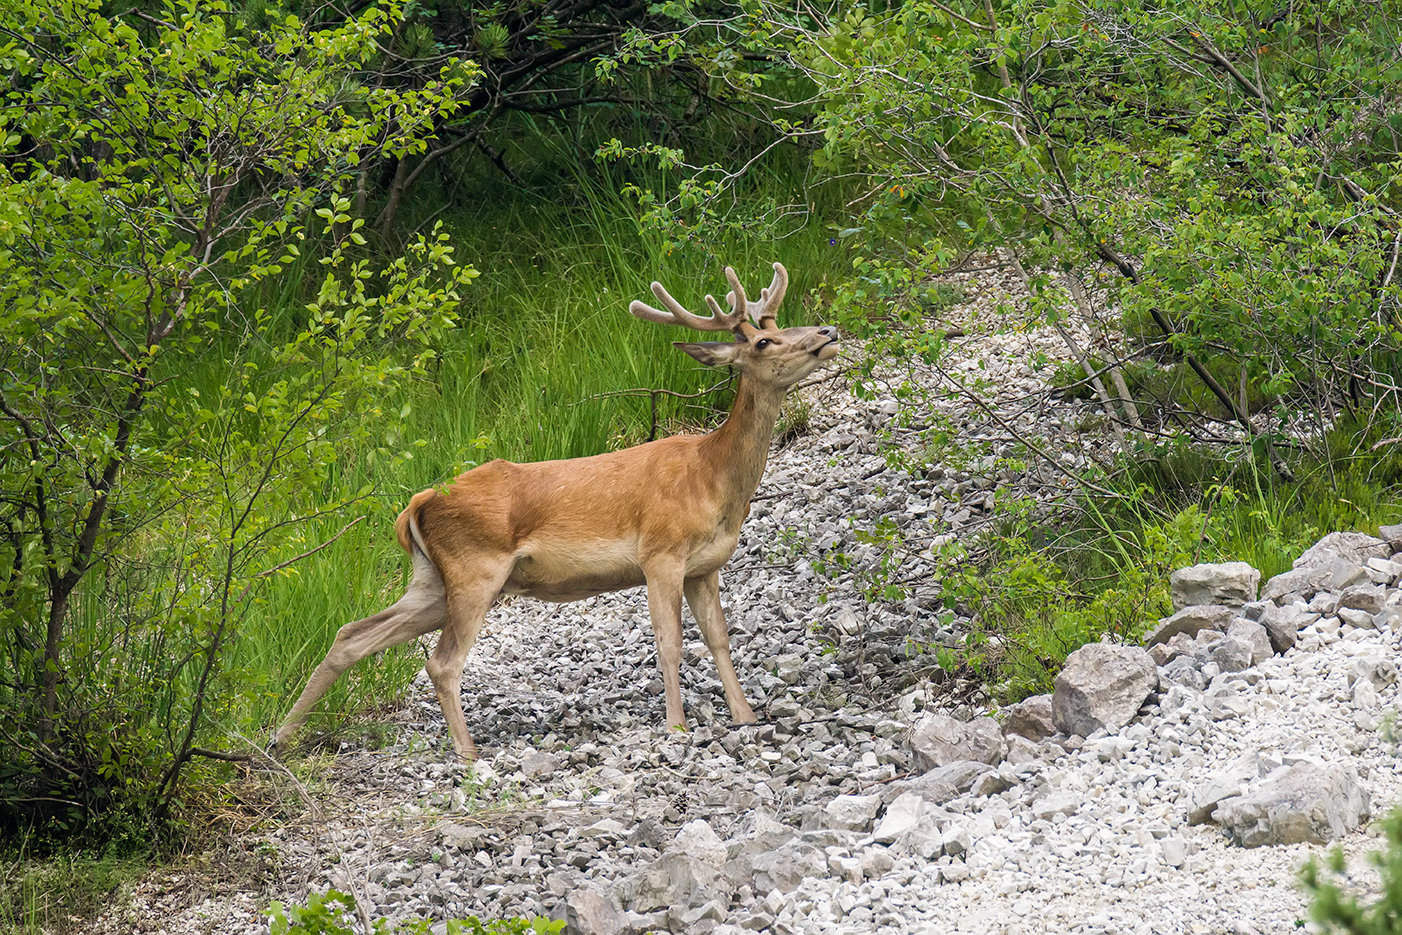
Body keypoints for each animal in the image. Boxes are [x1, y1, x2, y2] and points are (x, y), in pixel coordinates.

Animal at [272, 262, 840, 760]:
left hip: (434, 580)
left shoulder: (707, 565)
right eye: (763, 343)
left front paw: (745, 716)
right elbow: (671, 643)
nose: (828, 330)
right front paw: (677, 727)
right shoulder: (660, 552)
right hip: (476, 568)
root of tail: (418, 501)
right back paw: (468, 752)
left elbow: (719, 638)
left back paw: (280, 739)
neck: (711, 478)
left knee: (352, 635)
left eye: (781, 327)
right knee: (442, 662)